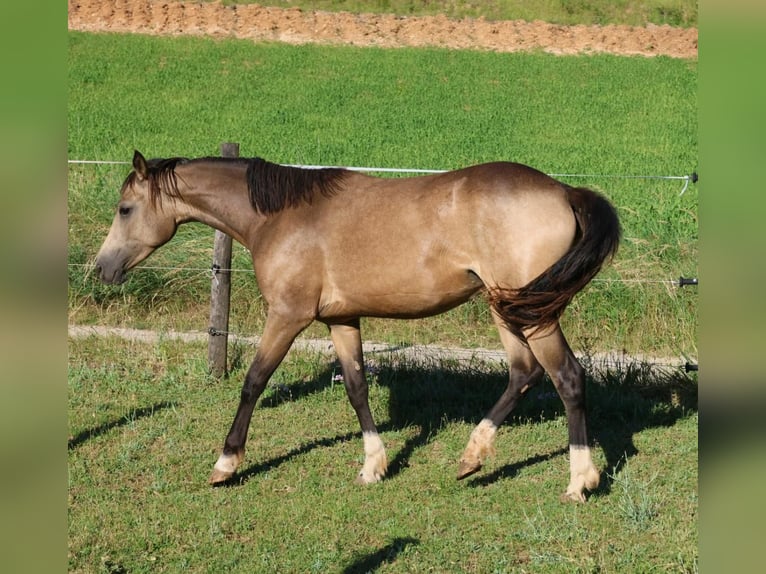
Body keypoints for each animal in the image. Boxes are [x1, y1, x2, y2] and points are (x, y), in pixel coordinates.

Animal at [95, 150, 620, 502]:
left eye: (125, 209)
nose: (102, 269)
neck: (280, 218)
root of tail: (565, 192)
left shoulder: (287, 316)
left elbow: (253, 381)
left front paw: (226, 464)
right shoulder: (341, 319)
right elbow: (356, 386)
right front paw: (374, 466)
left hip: (529, 312)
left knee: (567, 377)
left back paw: (580, 481)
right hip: (508, 307)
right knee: (524, 373)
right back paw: (471, 457)